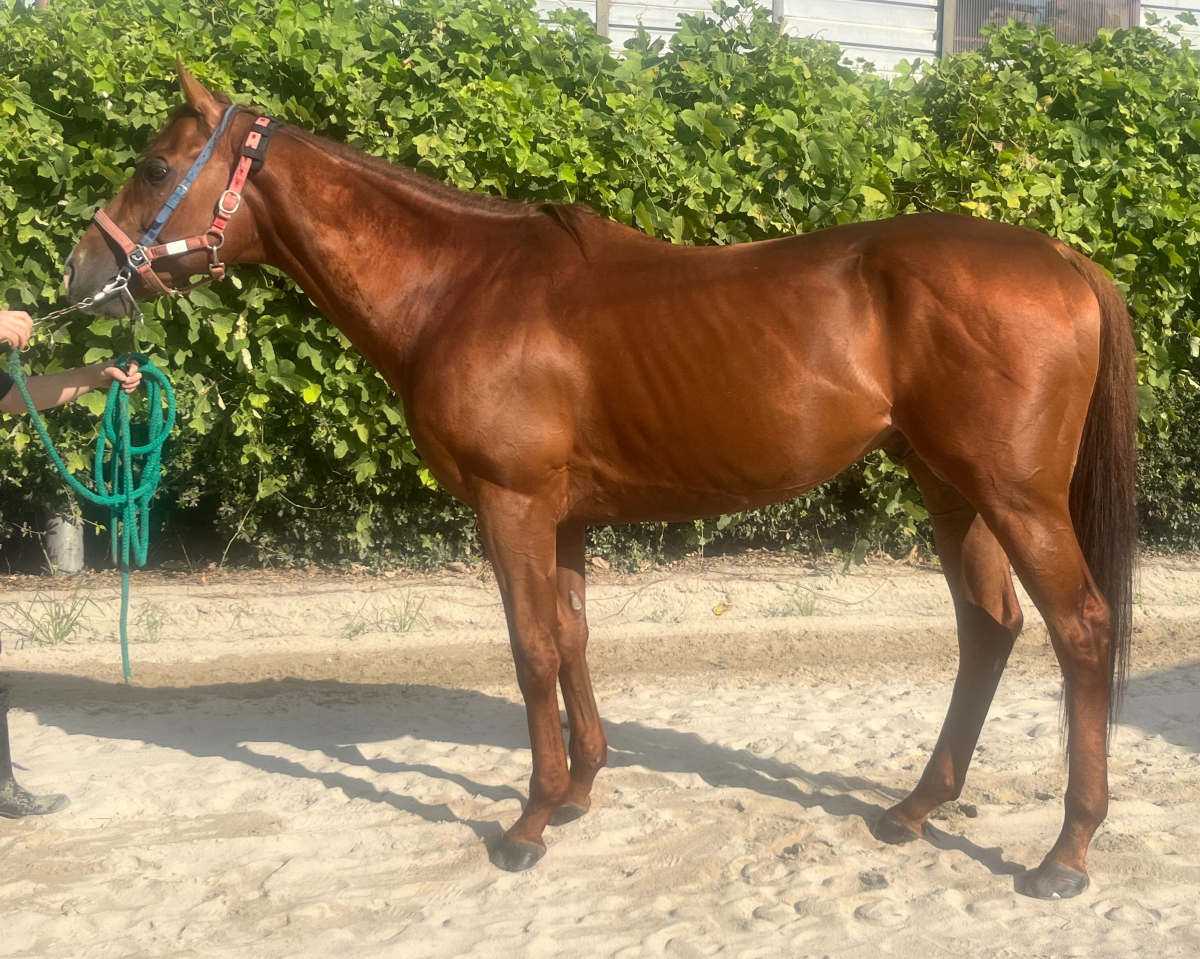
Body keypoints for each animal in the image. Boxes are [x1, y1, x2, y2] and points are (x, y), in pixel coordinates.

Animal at [62, 65, 1137, 899]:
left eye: (155, 166)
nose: (80, 274)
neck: (461, 286)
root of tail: (1063, 257)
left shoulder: (513, 504)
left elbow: (530, 647)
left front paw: (529, 822)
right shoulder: (566, 518)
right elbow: (572, 637)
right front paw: (580, 791)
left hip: (1016, 497)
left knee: (1080, 629)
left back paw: (1065, 853)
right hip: (952, 488)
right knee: (988, 629)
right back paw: (916, 807)